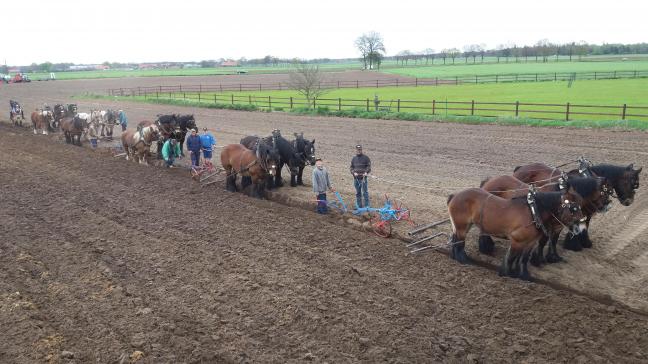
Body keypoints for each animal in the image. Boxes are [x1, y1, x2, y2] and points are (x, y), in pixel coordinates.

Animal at [448, 186, 584, 280]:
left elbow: (523, 258)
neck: (533, 212)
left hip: (464, 226)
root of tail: (455, 195)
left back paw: (456, 257)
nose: (581, 229)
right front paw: (507, 273)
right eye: (574, 208)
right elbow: (512, 258)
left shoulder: (530, 242)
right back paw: (464, 260)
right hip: (461, 226)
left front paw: (524, 275)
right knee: (459, 243)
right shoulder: (517, 240)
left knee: (455, 240)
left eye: (580, 207)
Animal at [480, 175, 612, 266]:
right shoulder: (546, 226)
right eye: (604, 192)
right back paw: (486, 248)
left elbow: (553, 241)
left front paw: (553, 257)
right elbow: (543, 241)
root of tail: (489, 180)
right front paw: (538, 260)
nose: (608, 206)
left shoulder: (557, 227)